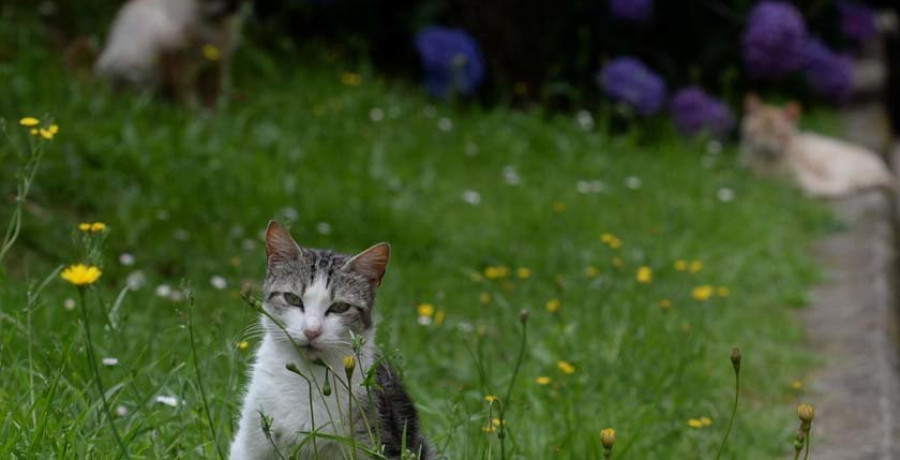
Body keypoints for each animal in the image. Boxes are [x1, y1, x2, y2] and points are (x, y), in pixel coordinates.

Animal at [95, 0, 244, 107]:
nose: (234, 5)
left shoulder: (218, 63)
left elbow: (211, 97)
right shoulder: (176, 54)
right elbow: (185, 94)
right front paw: (193, 116)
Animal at [740, 95, 892, 198]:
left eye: (778, 134)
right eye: (759, 131)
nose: (765, 146)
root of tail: (883, 168)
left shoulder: (798, 173)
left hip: (833, 164)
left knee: (844, 187)